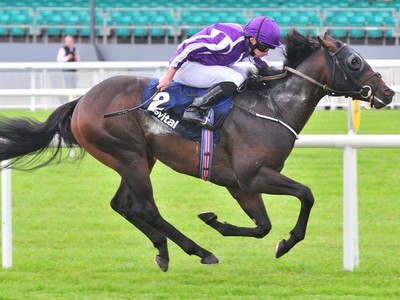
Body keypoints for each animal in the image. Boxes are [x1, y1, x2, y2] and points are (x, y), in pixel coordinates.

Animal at [0, 31, 394, 272]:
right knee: (146, 208)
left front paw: (218, 221)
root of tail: (82, 101)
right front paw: (286, 242)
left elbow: (263, 227)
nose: (388, 93)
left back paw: (163, 250)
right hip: (128, 156)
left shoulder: (240, 184)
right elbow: (306, 195)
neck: (272, 106)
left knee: (123, 205)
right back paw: (199, 251)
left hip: (139, 158)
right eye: (355, 61)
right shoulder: (254, 175)